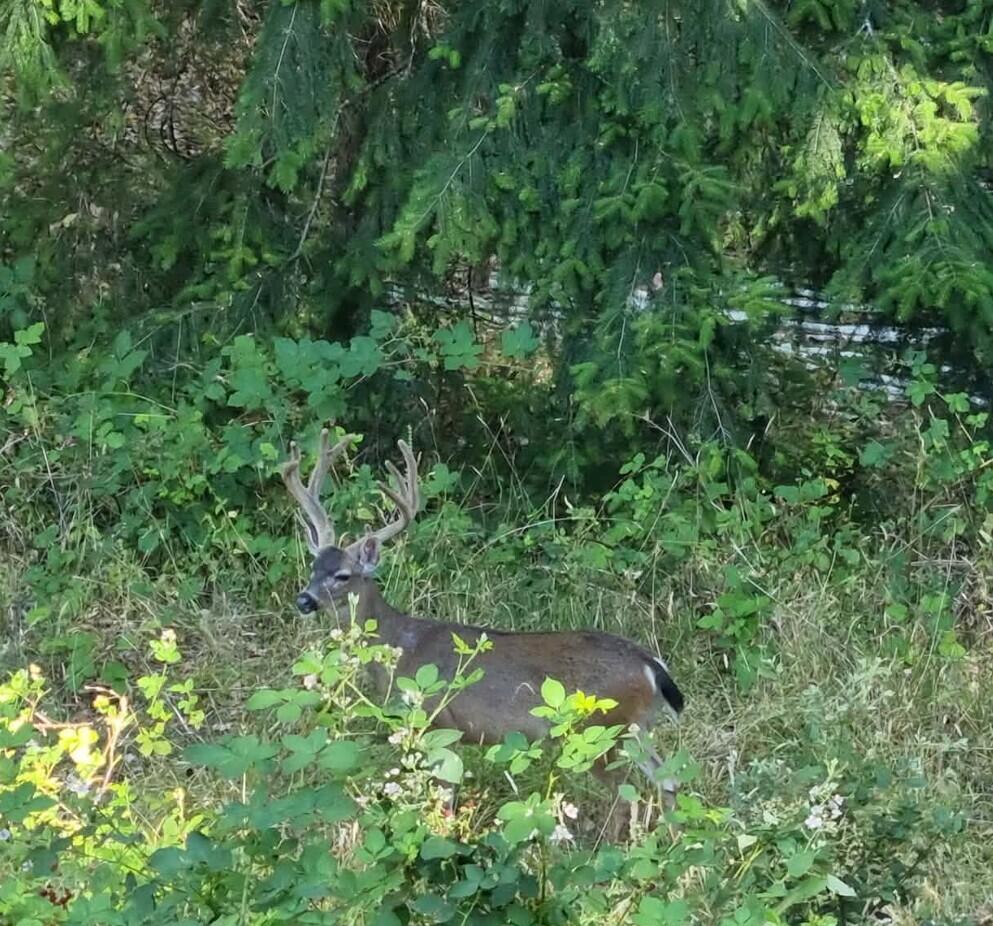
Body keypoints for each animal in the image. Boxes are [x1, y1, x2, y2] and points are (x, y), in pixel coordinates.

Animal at [281, 427, 685, 839]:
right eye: (313, 567)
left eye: (342, 575)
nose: (304, 600)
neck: (400, 648)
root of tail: (650, 665)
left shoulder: (438, 722)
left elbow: (442, 801)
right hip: (635, 727)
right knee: (668, 781)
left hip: (598, 730)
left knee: (626, 795)